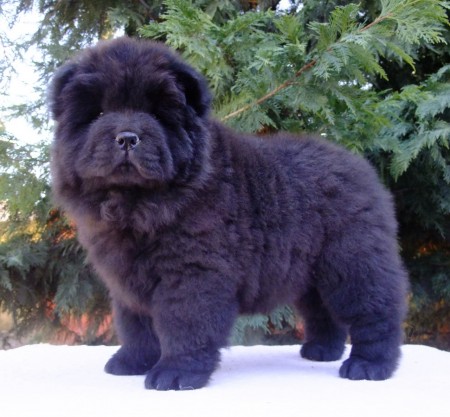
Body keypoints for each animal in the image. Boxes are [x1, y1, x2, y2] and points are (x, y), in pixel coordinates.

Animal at [49, 37, 408, 390]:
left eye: (157, 114)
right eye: (99, 113)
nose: (126, 137)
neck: (138, 205)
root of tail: (361, 168)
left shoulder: (193, 272)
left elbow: (184, 325)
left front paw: (174, 374)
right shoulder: (127, 280)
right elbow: (135, 326)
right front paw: (131, 362)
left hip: (352, 262)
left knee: (377, 310)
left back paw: (369, 365)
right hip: (311, 274)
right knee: (322, 312)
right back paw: (320, 351)